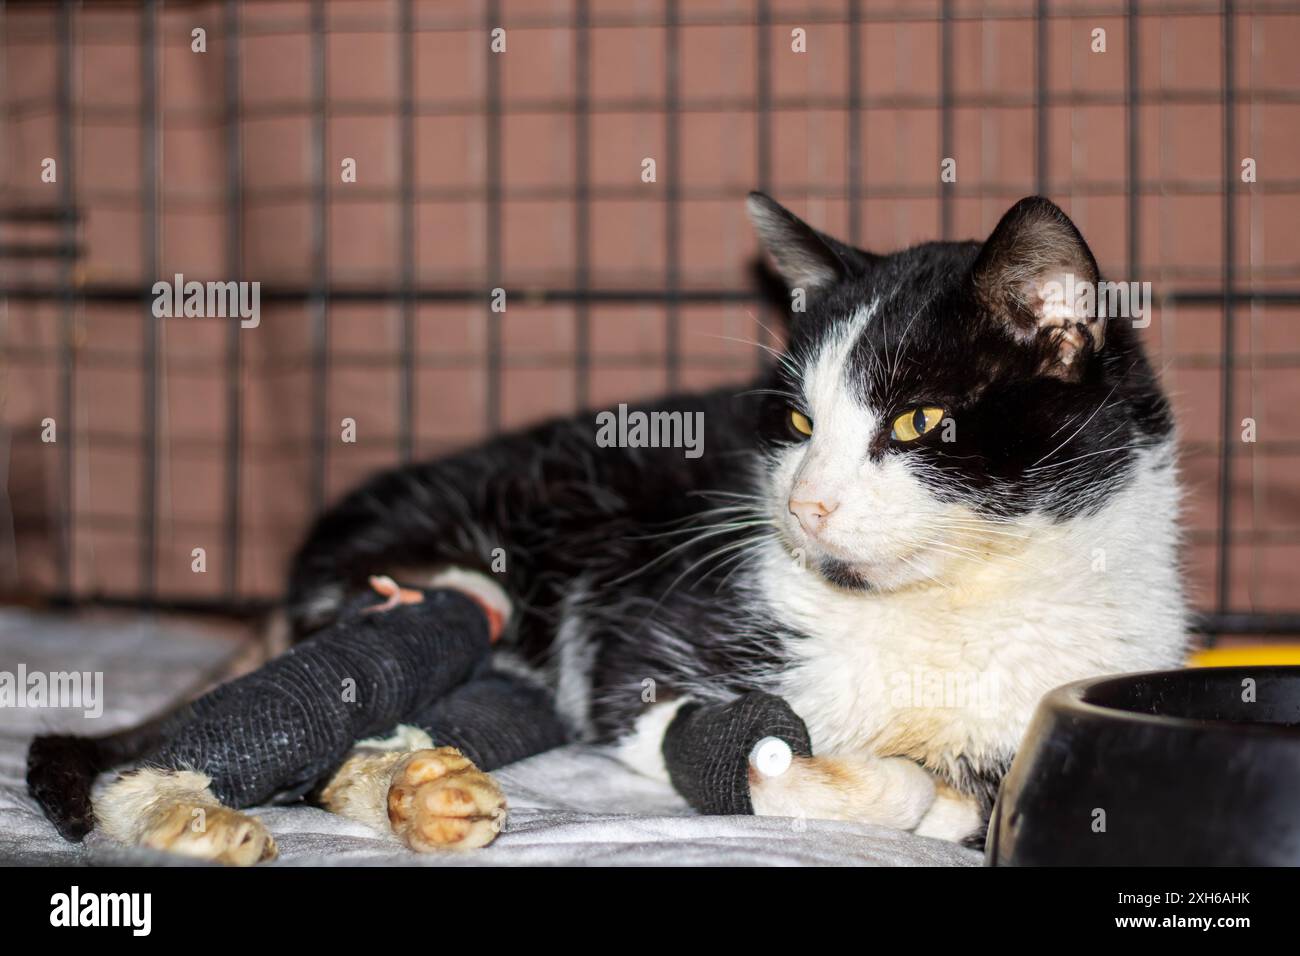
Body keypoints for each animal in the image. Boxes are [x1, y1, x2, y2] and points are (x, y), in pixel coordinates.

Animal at [35, 191, 1190, 858]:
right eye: (797, 422)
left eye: (916, 422)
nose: (802, 501)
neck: (946, 606)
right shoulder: (636, 654)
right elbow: (766, 748)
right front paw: (811, 769)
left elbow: (976, 800)